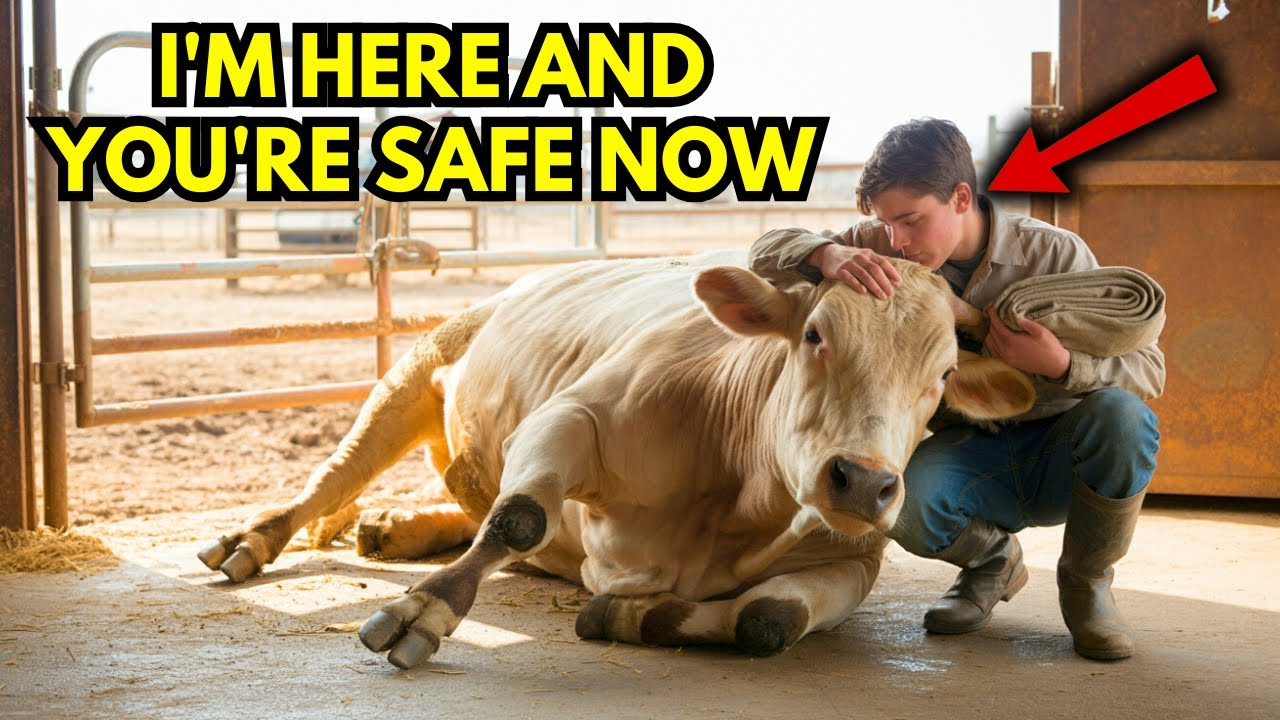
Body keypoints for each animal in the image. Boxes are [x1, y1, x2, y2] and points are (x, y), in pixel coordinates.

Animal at [198, 250, 1034, 668]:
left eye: (944, 376)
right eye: (814, 334)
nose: (864, 482)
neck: (736, 504)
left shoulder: (850, 559)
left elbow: (767, 619)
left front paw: (625, 614)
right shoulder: (572, 418)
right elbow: (520, 518)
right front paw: (423, 611)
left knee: (462, 497)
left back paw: (395, 526)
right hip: (413, 368)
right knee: (331, 477)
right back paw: (257, 539)